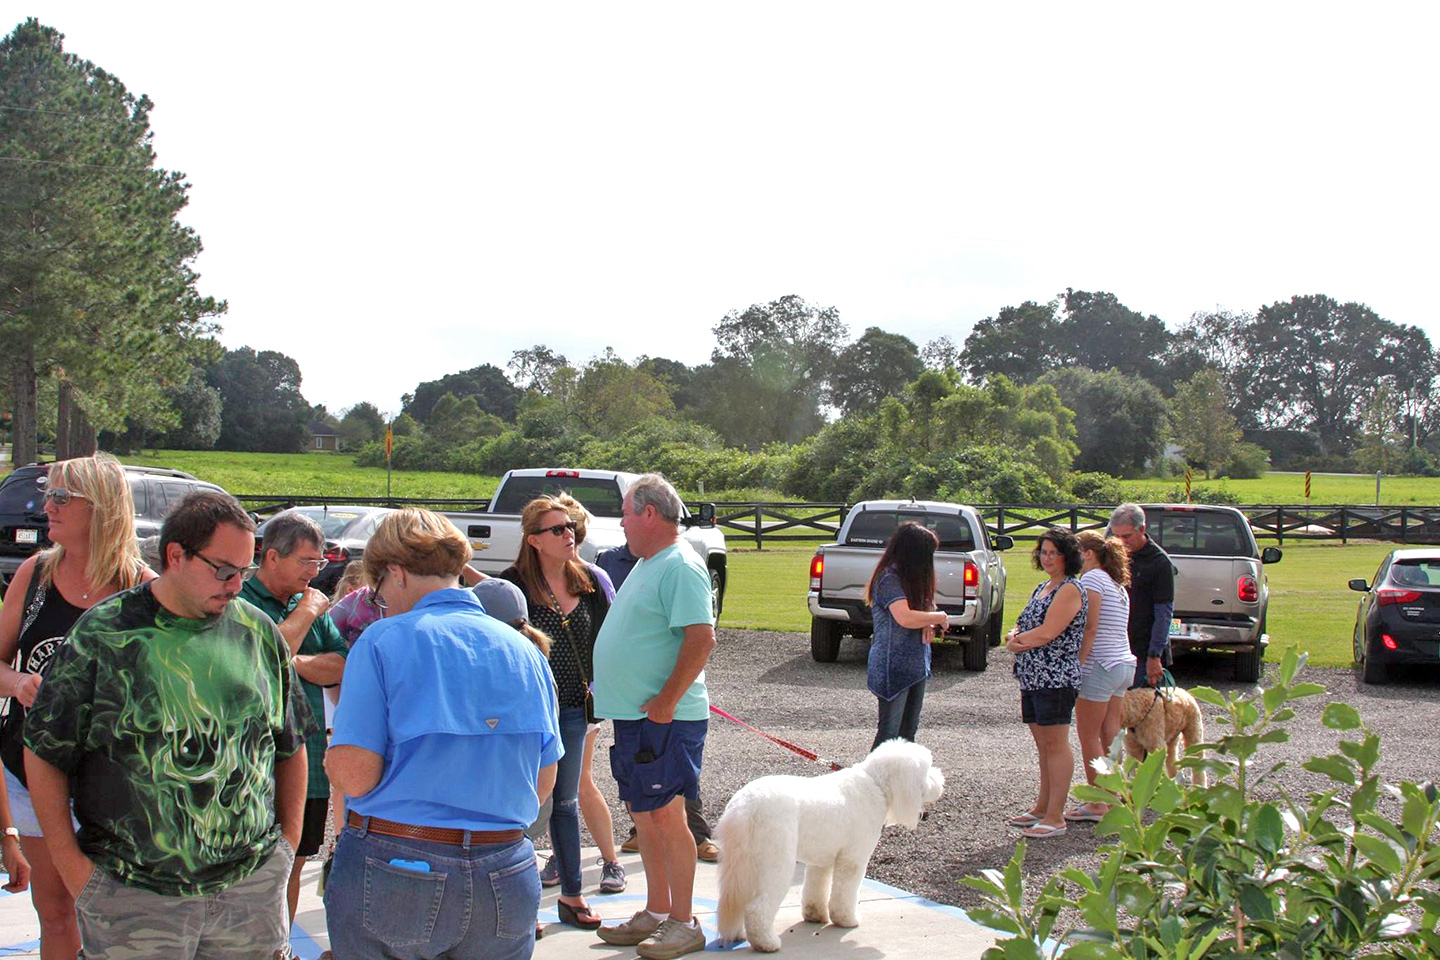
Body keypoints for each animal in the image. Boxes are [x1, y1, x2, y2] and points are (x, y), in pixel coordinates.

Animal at [717, 736, 944, 955]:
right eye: (926, 770)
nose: (941, 780)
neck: (874, 784)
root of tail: (745, 806)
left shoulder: (821, 862)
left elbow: (816, 889)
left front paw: (815, 916)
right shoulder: (853, 859)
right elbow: (845, 894)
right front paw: (847, 920)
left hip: (743, 865)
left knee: (737, 901)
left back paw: (737, 934)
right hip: (775, 862)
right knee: (757, 909)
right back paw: (766, 943)